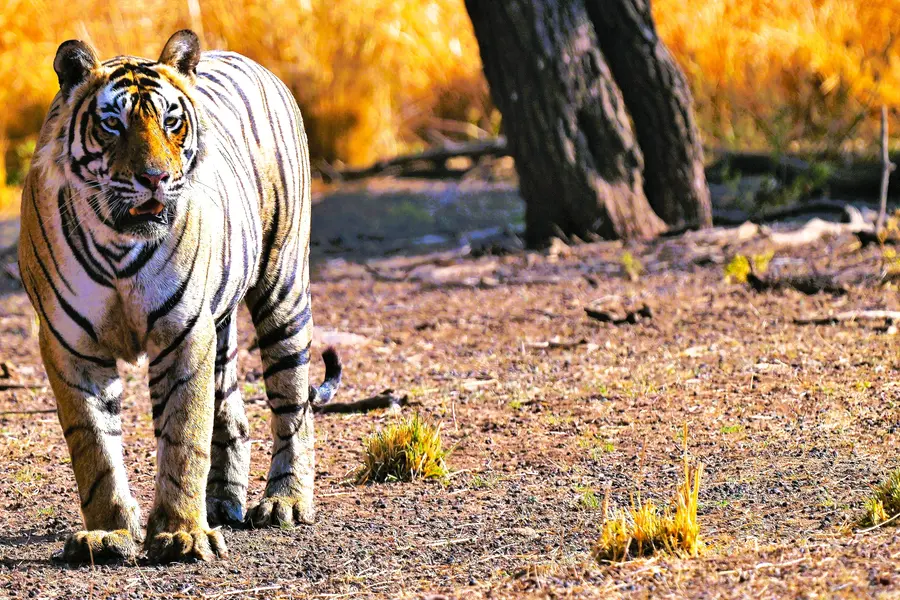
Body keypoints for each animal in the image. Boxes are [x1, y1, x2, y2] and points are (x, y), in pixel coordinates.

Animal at [17, 30, 342, 564]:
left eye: (171, 121)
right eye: (112, 124)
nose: (155, 178)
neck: (117, 242)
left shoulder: (183, 332)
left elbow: (183, 435)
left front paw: (182, 533)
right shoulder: (70, 346)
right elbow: (95, 448)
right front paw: (107, 533)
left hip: (283, 291)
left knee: (293, 404)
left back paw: (285, 502)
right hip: (222, 326)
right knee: (233, 416)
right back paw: (222, 503)